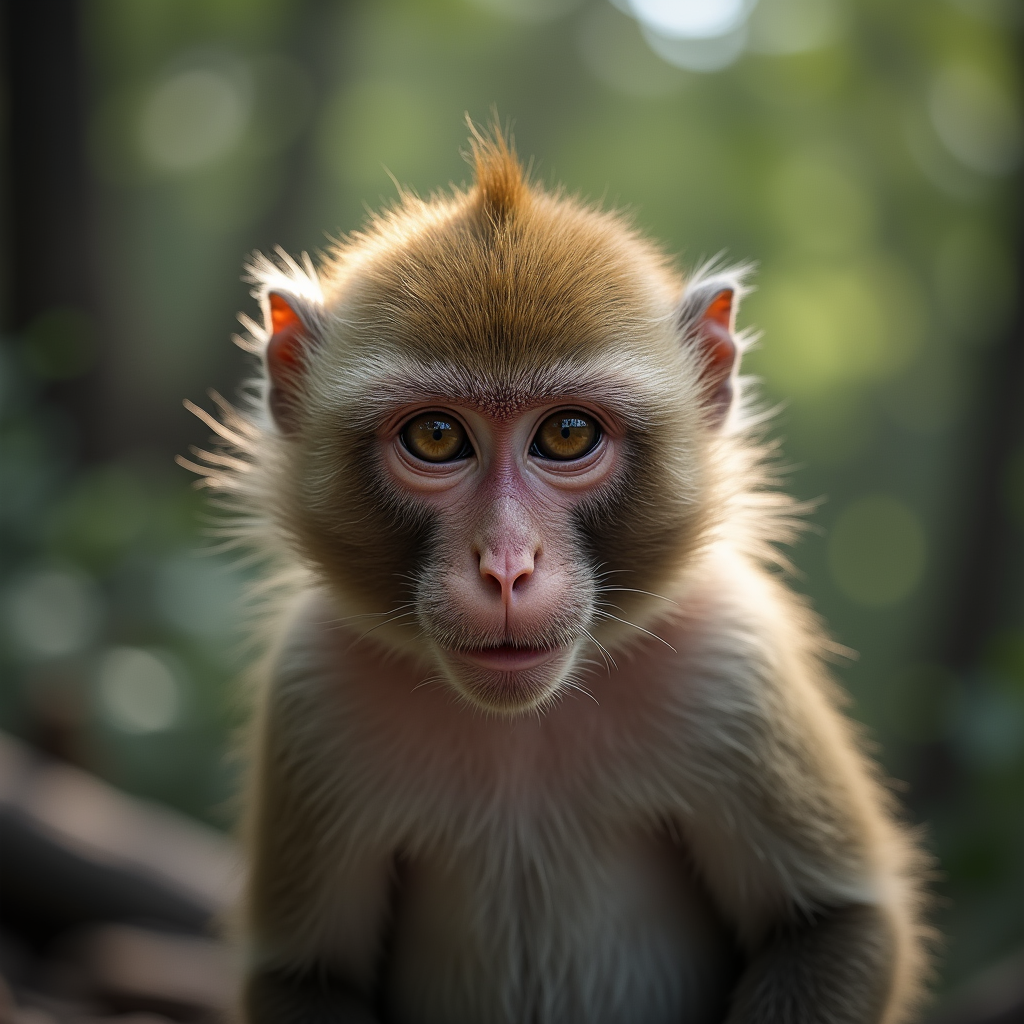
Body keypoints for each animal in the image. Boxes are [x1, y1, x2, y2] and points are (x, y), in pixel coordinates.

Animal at [183, 125, 930, 1024]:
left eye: (568, 435)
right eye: (437, 437)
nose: (507, 566)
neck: (522, 723)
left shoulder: (733, 661)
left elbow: (831, 923)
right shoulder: (311, 691)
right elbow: (308, 973)